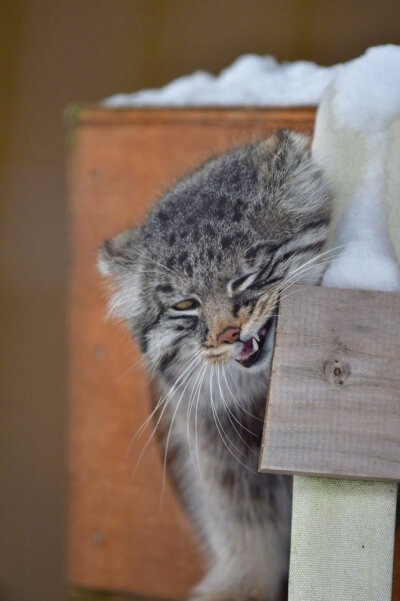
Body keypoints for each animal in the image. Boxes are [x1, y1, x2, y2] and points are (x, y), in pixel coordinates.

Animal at [98, 130, 332, 600]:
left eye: (246, 276)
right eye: (184, 305)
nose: (227, 334)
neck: (262, 400)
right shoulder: (217, 457)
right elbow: (246, 534)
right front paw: (243, 587)